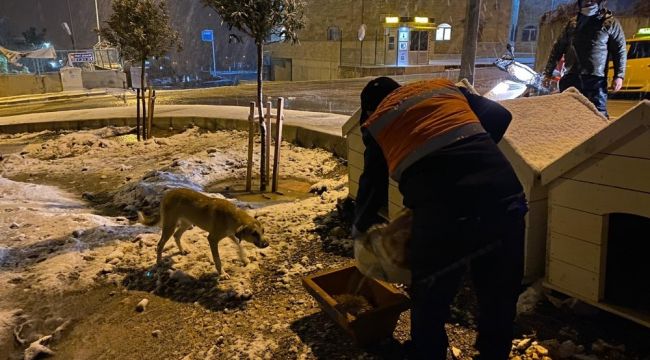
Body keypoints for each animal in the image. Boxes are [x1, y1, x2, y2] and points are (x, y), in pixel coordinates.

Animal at [138, 188, 268, 278]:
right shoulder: (212, 239)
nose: (267, 244)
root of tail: (167, 194)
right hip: (169, 226)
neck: (233, 216)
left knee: (176, 235)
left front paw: (244, 259)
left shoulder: (231, 234)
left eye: (263, 231)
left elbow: (239, 246)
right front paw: (222, 274)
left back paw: (182, 251)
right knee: (160, 244)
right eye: (254, 233)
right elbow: (217, 259)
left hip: (187, 223)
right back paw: (159, 262)